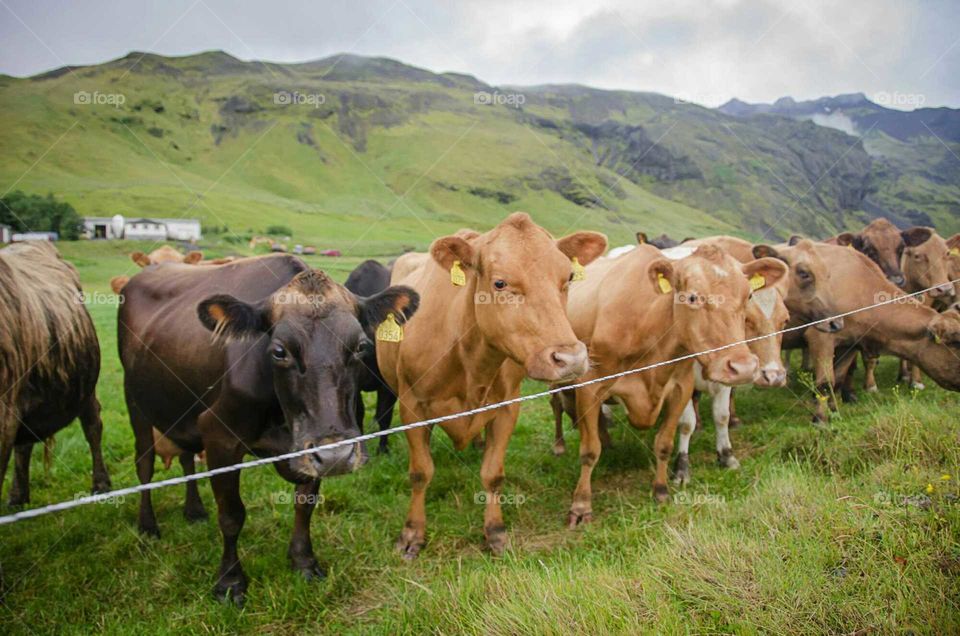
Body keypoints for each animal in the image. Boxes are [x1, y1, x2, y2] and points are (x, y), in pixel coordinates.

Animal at [376, 212, 608, 556]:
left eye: (567, 278)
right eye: (500, 283)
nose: (572, 358)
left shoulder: (507, 407)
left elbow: (493, 474)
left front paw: (495, 532)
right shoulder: (412, 405)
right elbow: (420, 472)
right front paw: (411, 534)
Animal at [556, 241, 788, 524]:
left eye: (748, 297)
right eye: (692, 297)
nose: (744, 367)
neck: (647, 323)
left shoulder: (682, 386)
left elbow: (669, 441)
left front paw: (662, 489)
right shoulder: (590, 387)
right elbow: (590, 451)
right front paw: (581, 506)